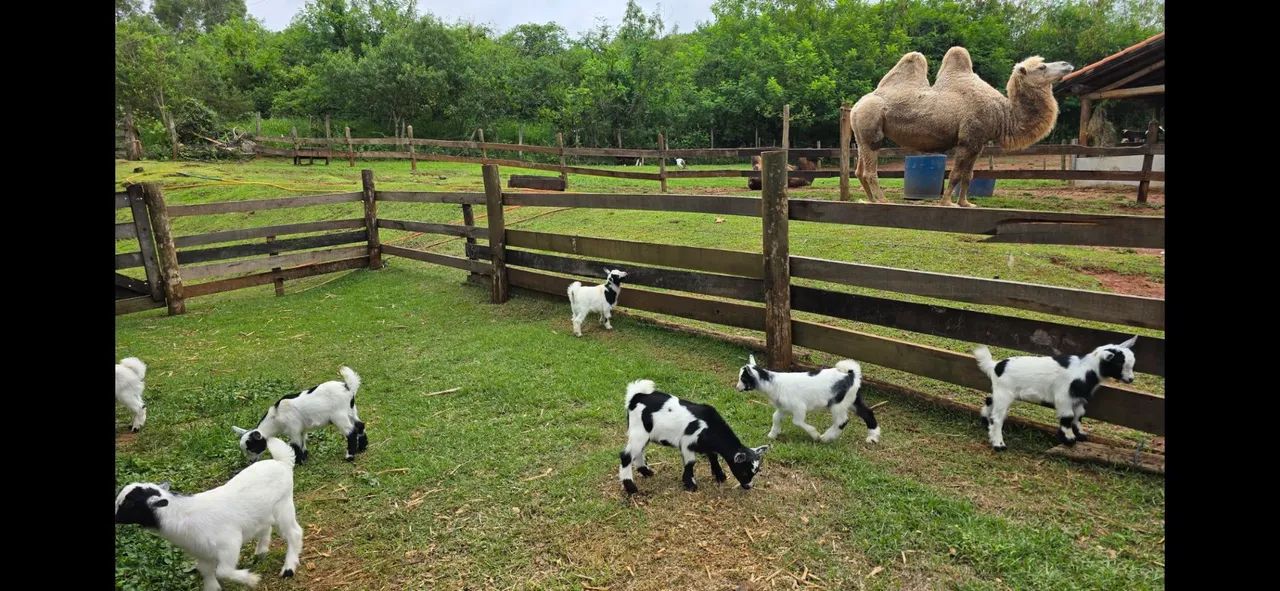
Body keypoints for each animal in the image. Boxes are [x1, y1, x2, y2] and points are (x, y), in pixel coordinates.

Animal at [115, 437, 303, 590]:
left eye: (129, 504)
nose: (114, 518)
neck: (181, 515)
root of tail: (282, 463)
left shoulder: (229, 544)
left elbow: (223, 571)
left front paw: (252, 580)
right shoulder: (203, 553)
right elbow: (205, 570)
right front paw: (213, 587)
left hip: (284, 506)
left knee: (294, 533)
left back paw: (288, 568)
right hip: (264, 512)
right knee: (265, 527)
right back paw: (261, 552)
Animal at [233, 366, 367, 464]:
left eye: (252, 448)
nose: (251, 461)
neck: (276, 416)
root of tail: (348, 387)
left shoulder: (293, 429)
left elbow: (296, 445)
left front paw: (297, 462)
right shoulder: (301, 430)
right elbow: (303, 443)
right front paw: (304, 458)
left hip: (339, 416)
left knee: (351, 432)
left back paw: (349, 456)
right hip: (351, 411)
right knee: (360, 425)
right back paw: (362, 448)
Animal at [619, 379, 770, 495]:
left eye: (755, 472)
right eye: (744, 472)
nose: (748, 486)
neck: (710, 426)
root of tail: (636, 396)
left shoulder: (707, 446)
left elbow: (713, 457)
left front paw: (720, 476)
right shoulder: (687, 442)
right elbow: (691, 463)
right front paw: (691, 484)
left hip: (643, 434)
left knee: (638, 452)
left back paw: (646, 472)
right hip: (639, 431)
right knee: (626, 456)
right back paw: (631, 487)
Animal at [735, 355, 881, 444]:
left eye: (743, 378)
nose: (737, 388)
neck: (774, 384)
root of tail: (851, 375)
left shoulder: (799, 407)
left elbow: (797, 422)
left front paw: (814, 434)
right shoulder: (783, 408)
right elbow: (775, 417)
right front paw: (772, 434)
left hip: (838, 404)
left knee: (842, 421)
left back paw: (825, 437)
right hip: (852, 399)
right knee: (867, 413)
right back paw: (872, 437)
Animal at [973, 336, 1137, 450]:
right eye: (1119, 363)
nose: (1130, 379)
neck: (1086, 370)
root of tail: (995, 366)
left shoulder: (1078, 399)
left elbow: (1079, 416)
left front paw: (1081, 434)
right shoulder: (1064, 397)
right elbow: (1068, 417)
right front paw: (1069, 439)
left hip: (1000, 391)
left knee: (989, 400)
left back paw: (985, 421)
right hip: (1005, 393)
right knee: (997, 418)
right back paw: (999, 444)